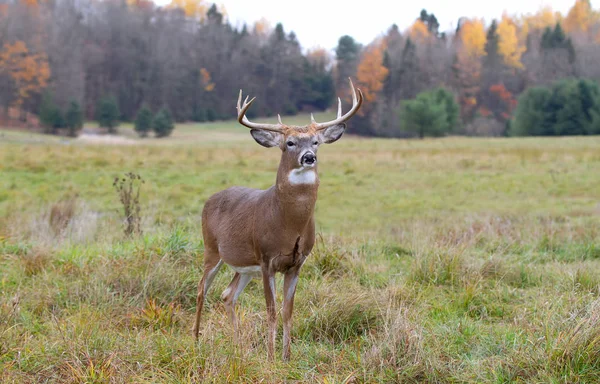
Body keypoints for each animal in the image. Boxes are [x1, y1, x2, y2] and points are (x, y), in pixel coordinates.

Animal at [192, 78, 364, 360]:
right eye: (290, 143)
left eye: (315, 142)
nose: (309, 157)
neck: (288, 224)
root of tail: (209, 199)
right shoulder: (266, 259)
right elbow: (271, 310)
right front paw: (271, 357)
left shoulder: (297, 262)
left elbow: (287, 311)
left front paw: (286, 356)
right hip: (211, 249)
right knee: (201, 290)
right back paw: (195, 340)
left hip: (244, 266)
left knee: (228, 295)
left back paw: (237, 346)